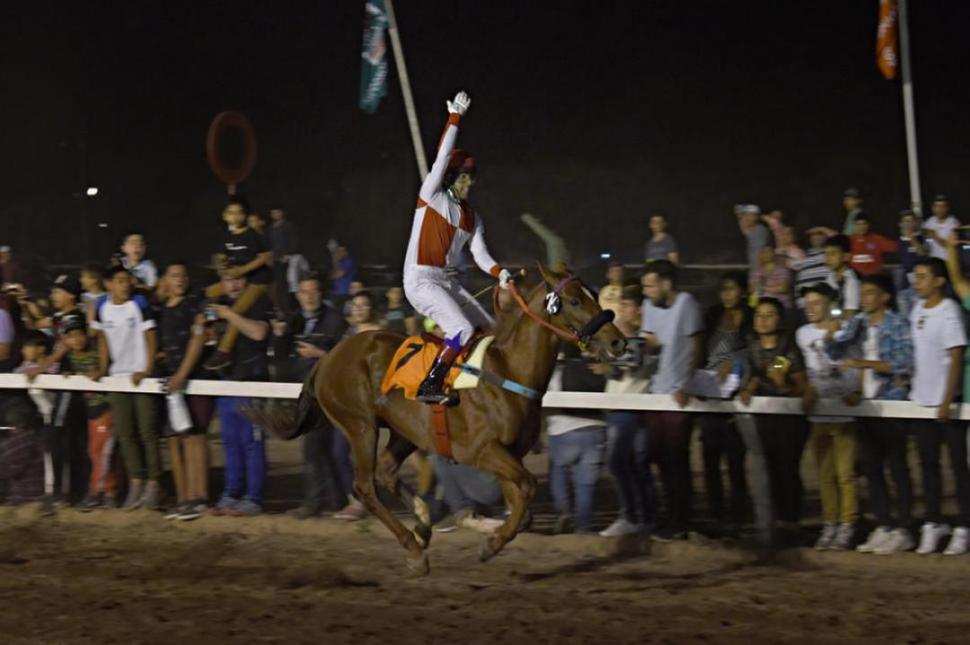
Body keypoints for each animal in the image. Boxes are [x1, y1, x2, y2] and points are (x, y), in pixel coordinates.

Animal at [253, 262, 624, 572]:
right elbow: (527, 488)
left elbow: (524, 509)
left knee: (386, 472)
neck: (508, 371)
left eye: (594, 294)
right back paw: (414, 549)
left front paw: (482, 526)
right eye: (574, 300)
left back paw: (422, 523)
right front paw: (489, 542)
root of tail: (328, 356)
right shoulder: (481, 450)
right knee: (365, 487)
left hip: (405, 430)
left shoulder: (510, 453)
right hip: (360, 426)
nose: (618, 342)